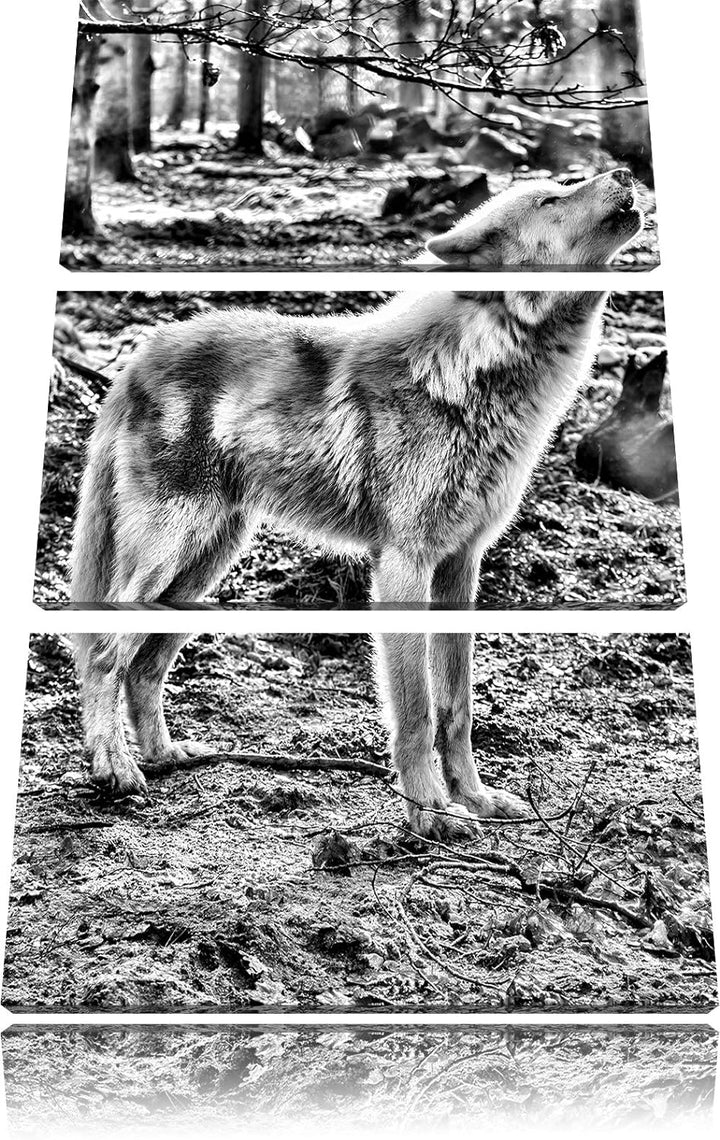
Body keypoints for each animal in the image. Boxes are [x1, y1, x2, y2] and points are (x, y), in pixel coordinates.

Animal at [70, 178, 643, 839]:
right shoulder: (402, 567)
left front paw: (474, 799)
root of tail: (138, 356)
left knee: (144, 667)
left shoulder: (461, 567)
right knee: (105, 655)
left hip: (202, 571)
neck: (474, 373)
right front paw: (431, 815)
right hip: (170, 557)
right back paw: (114, 769)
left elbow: (458, 708)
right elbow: (418, 714)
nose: (624, 173)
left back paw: (164, 756)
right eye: (551, 199)